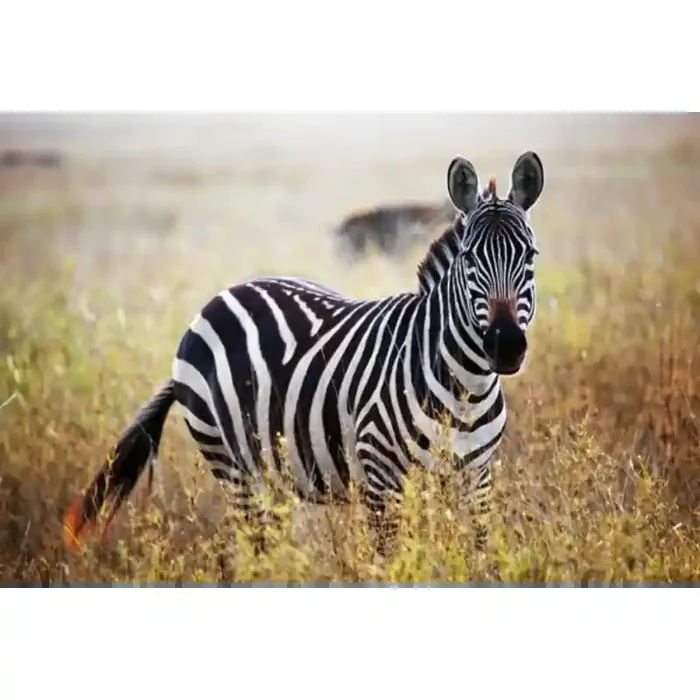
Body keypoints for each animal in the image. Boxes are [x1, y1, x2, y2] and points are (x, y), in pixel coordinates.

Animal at [63, 151, 545, 557]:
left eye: (531, 254)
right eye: (469, 259)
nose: (504, 345)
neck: (466, 387)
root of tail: (221, 296)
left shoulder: (477, 478)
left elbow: (474, 556)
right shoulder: (381, 476)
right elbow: (392, 562)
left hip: (271, 470)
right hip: (233, 465)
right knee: (255, 550)